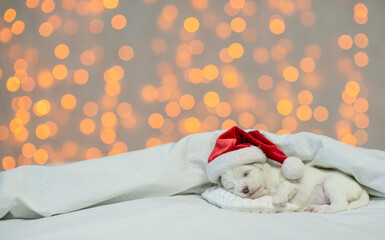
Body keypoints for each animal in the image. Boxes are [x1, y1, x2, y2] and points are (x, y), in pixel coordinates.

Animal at [218, 160, 368, 213]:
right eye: (231, 188)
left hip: (332, 183)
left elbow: (283, 187)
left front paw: (278, 199)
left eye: (246, 173)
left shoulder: (290, 183)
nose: (244, 189)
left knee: (340, 204)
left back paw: (322, 209)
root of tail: (361, 189)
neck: (268, 187)